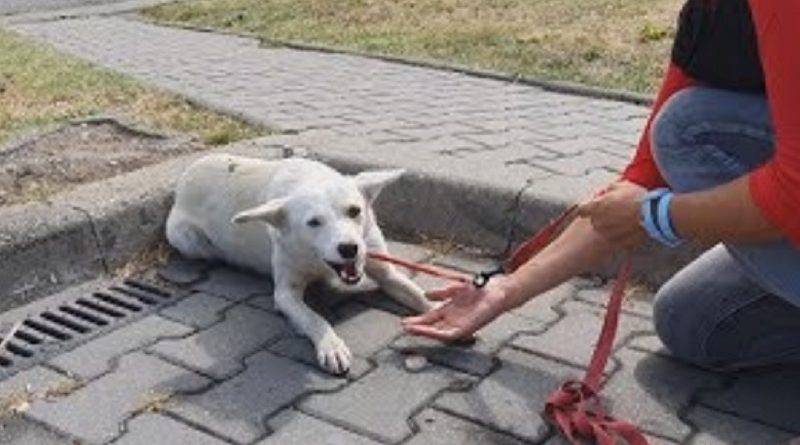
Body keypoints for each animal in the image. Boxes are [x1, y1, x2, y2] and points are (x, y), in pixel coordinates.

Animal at [165, 154, 434, 372]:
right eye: (314, 222)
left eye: (354, 211)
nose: (349, 248)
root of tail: (186, 174)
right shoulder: (286, 294)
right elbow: (313, 318)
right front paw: (331, 345)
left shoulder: (385, 272)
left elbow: (421, 296)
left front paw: (438, 316)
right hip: (186, 239)